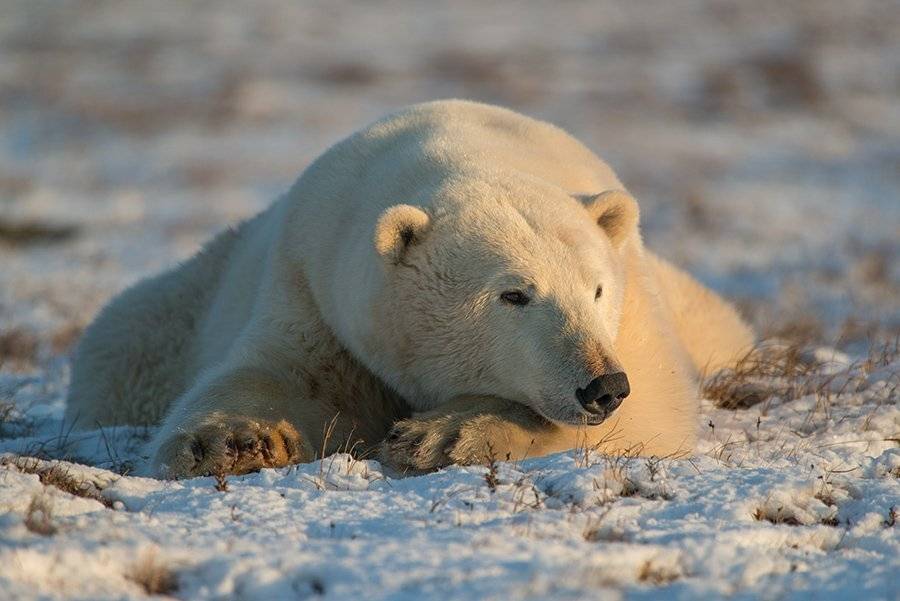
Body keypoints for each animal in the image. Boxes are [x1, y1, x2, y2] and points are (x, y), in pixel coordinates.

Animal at [64, 100, 755, 478]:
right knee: (118, 347)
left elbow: (652, 408)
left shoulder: (635, 315)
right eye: (515, 295)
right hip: (176, 310)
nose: (601, 385)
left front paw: (442, 433)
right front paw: (227, 442)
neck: (460, 147)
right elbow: (281, 375)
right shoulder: (313, 291)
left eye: (597, 290)